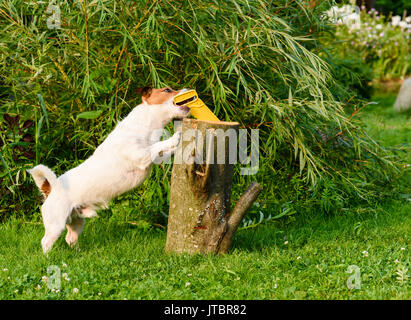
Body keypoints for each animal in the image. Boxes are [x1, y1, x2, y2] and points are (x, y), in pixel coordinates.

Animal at [29, 87, 190, 252]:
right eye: (167, 90)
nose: (186, 89)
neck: (144, 125)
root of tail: (50, 189)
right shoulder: (141, 155)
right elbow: (157, 145)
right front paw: (175, 137)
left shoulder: (154, 157)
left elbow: (163, 150)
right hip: (56, 225)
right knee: (45, 242)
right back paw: (48, 255)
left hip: (76, 221)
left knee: (70, 238)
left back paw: (78, 253)